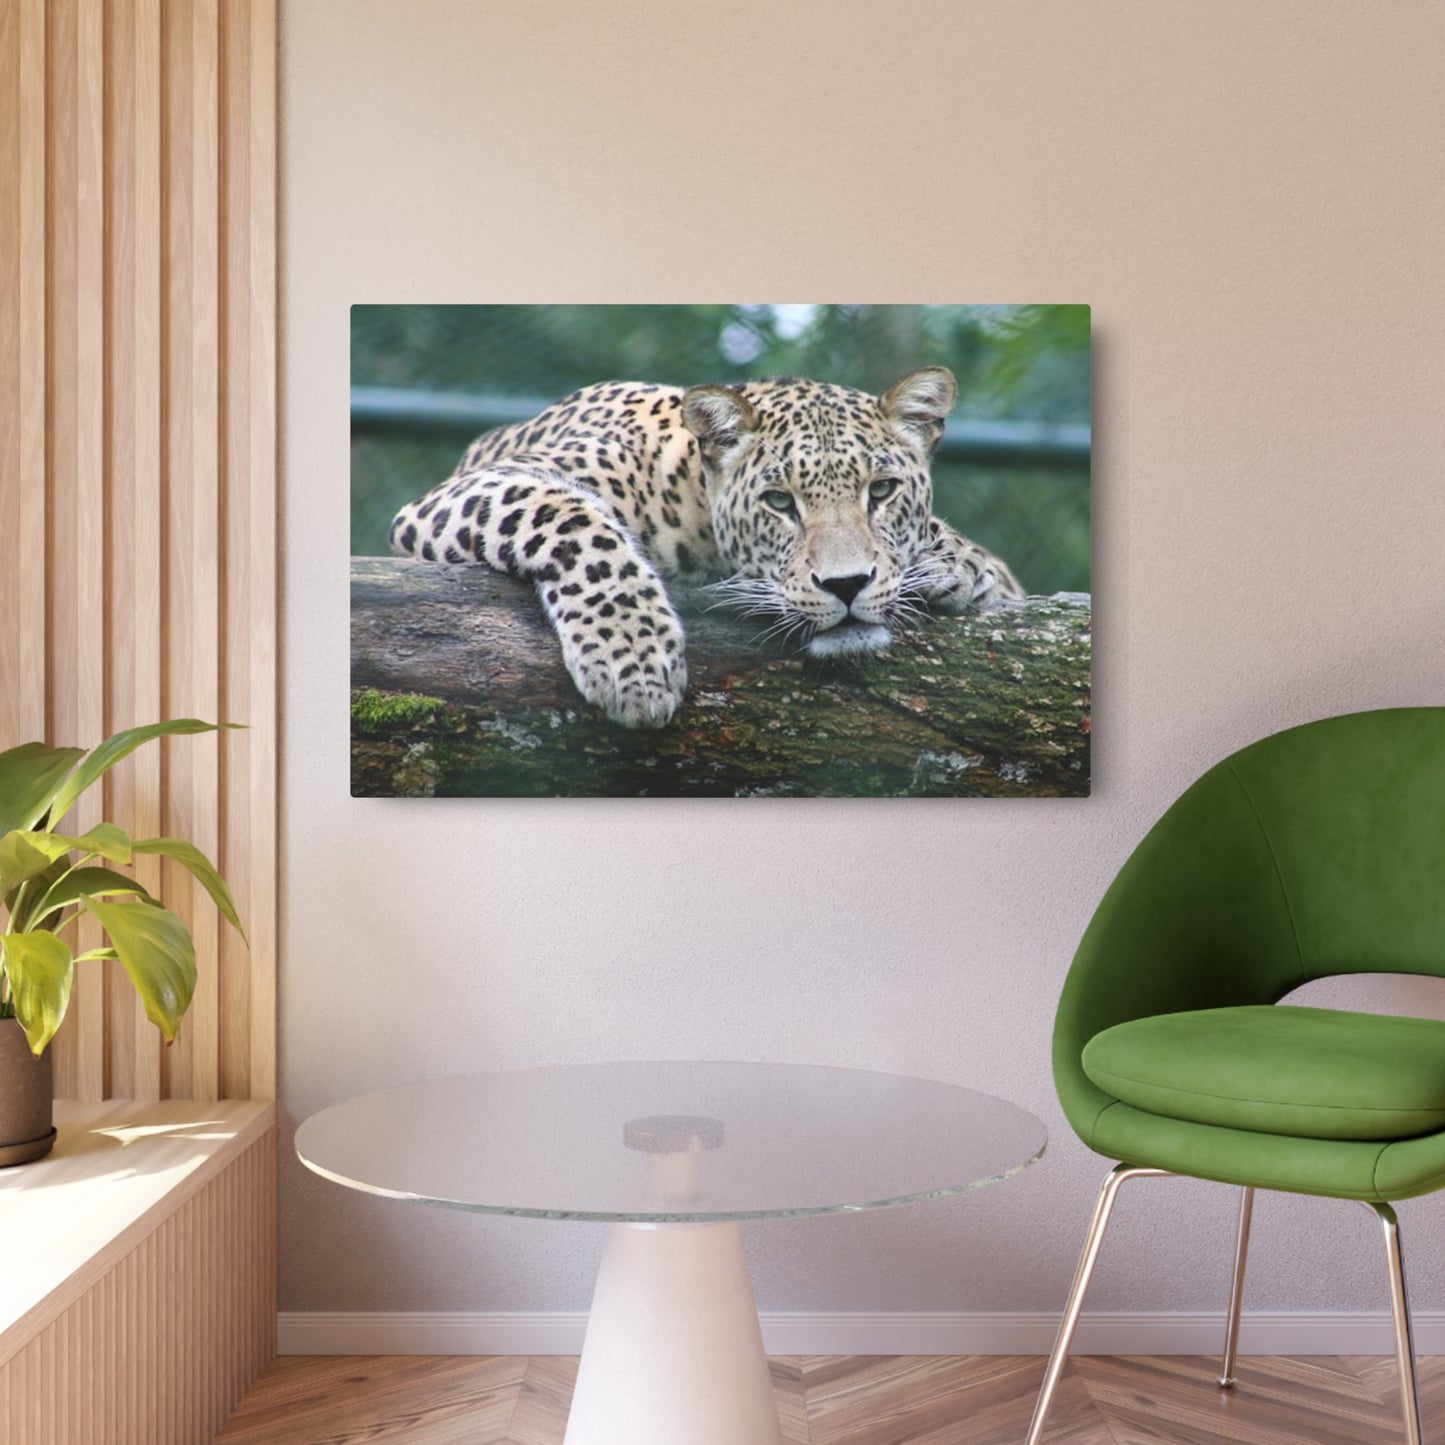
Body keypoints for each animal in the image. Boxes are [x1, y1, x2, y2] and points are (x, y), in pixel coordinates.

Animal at [388, 366, 1022, 729]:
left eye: (883, 491)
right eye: (779, 502)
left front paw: (962, 564)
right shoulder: (468, 491)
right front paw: (634, 661)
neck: (690, 496)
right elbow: (573, 521)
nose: (846, 586)